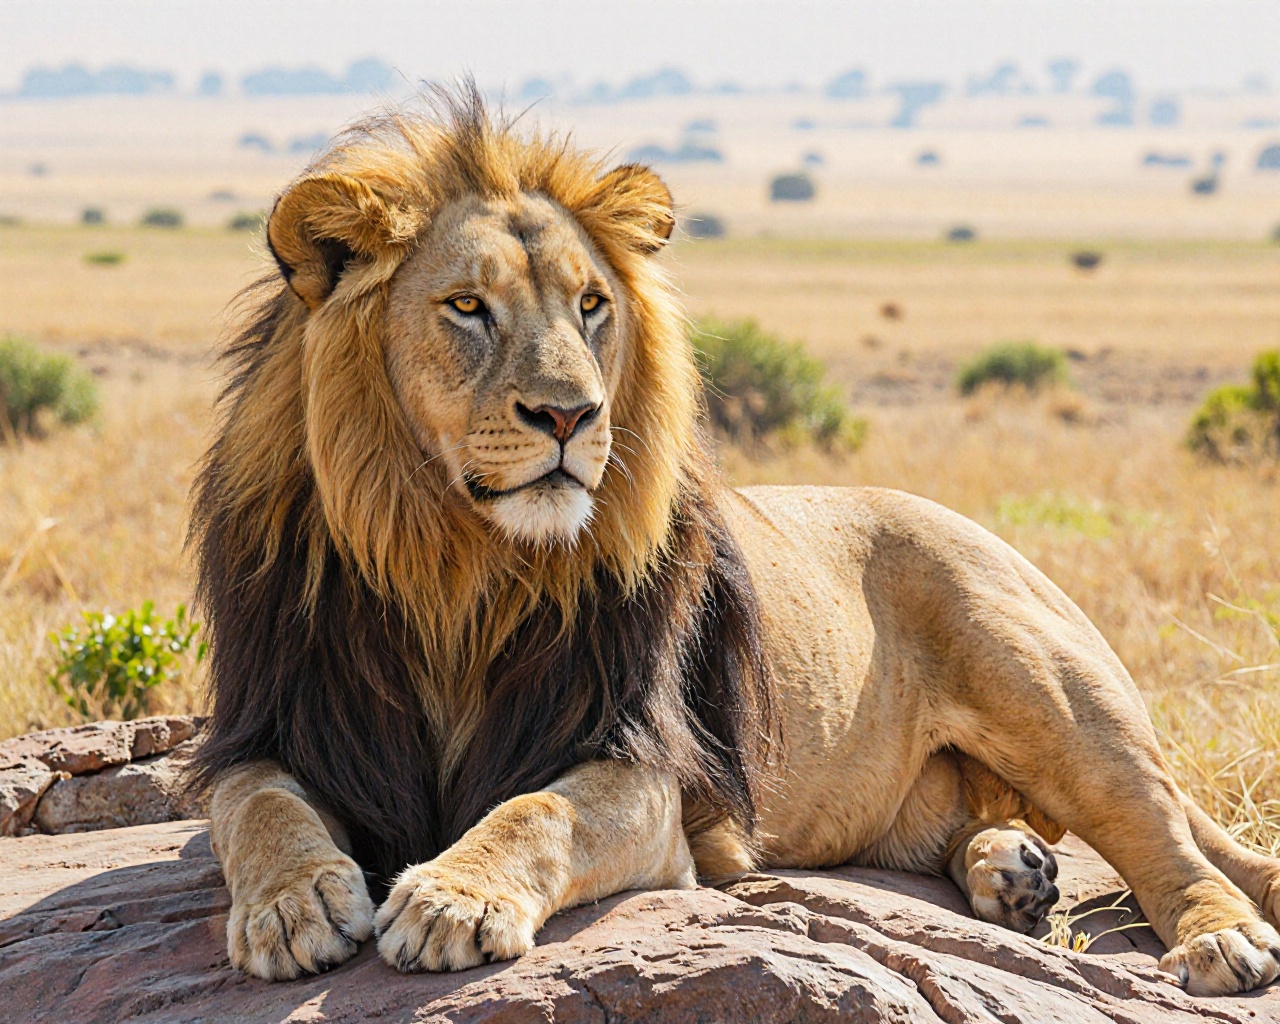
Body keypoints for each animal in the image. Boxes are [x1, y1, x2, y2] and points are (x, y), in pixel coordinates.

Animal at [191, 87, 1280, 997]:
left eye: (591, 305)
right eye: (466, 306)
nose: (572, 415)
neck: (453, 567)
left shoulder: (645, 765)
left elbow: (533, 812)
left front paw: (452, 896)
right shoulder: (274, 723)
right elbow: (254, 806)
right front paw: (292, 902)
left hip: (1049, 691)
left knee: (1168, 840)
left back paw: (1216, 938)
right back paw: (1010, 871)